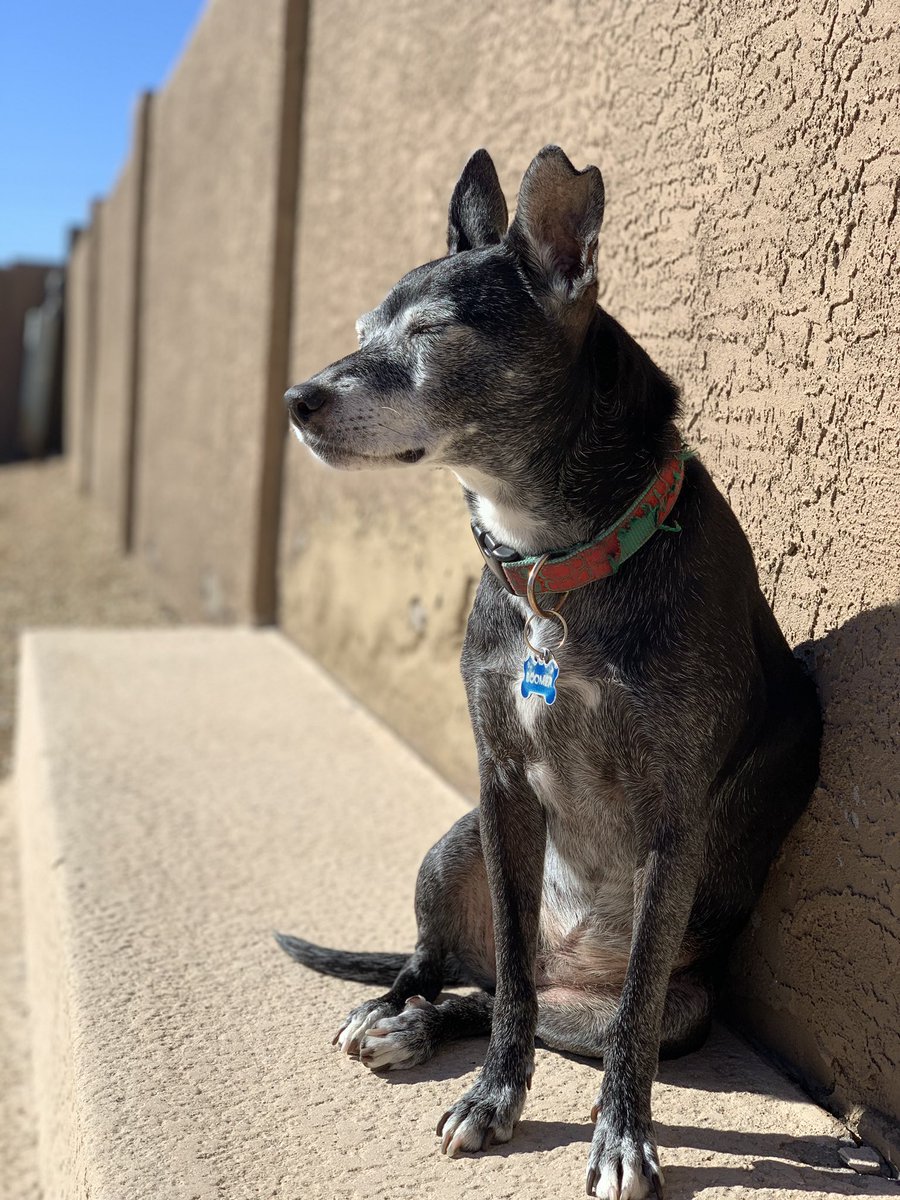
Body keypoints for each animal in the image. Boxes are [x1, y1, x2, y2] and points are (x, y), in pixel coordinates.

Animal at [277, 147, 825, 1200]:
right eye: (363, 331)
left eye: (434, 332)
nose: (297, 400)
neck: (557, 568)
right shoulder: (498, 788)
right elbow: (510, 983)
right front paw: (493, 1097)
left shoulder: (672, 828)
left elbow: (628, 1019)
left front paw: (622, 1139)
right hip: (453, 845)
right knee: (465, 973)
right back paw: (395, 1014)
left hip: (682, 1006)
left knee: (520, 1001)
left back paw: (428, 1026)